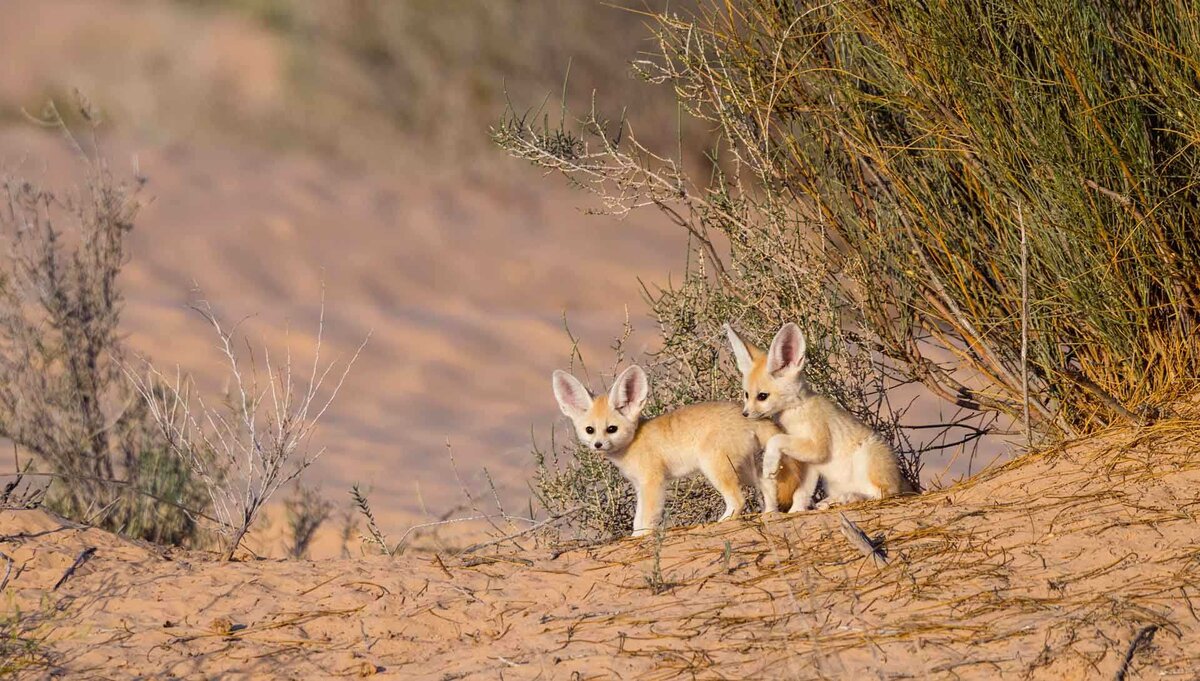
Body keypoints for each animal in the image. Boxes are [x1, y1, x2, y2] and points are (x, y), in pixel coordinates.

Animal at [552, 364, 806, 534]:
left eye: (611, 429)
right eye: (590, 430)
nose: (598, 445)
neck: (634, 441)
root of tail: (747, 415)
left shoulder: (653, 483)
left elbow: (646, 519)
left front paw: (641, 538)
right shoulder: (639, 486)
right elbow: (637, 519)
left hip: (715, 468)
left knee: (738, 500)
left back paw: (721, 522)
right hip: (742, 469)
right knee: (767, 486)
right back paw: (769, 514)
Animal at [724, 323, 912, 510]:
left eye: (762, 396)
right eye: (746, 394)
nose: (745, 414)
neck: (797, 409)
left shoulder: (818, 447)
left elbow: (776, 439)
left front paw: (769, 463)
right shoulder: (810, 464)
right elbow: (801, 493)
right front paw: (795, 511)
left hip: (867, 459)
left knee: (882, 494)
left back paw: (848, 497)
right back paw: (833, 500)